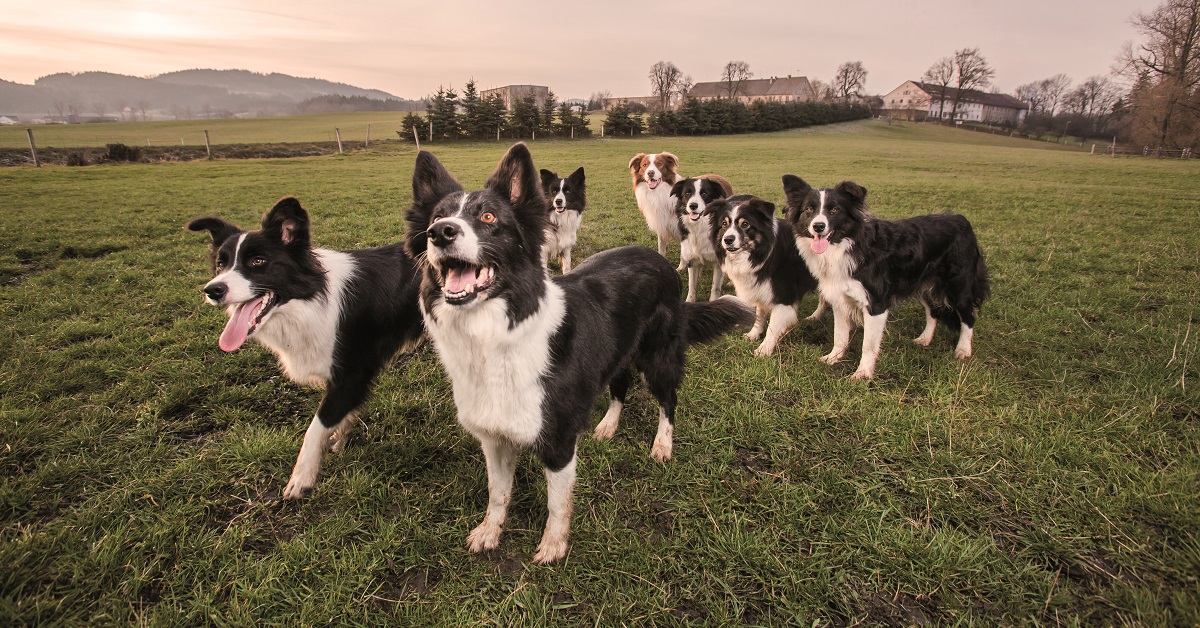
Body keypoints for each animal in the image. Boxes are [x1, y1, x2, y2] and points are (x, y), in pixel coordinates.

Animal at [189, 199, 424, 499]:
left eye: (257, 261)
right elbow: (339, 415)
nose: (212, 290)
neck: (308, 298)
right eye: (222, 263)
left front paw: (301, 479)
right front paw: (340, 436)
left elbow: (315, 427)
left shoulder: (352, 372)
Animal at [672, 175, 734, 303]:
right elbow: (692, 285)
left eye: (704, 194)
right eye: (687, 193)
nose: (693, 206)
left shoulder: (718, 263)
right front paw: (689, 301)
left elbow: (715, 287)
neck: (699, 227)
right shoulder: (692, 260)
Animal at [700, 194, 825, 355]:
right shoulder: (760, 286)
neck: (762, 253)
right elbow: (760, 313)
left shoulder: (783, 294)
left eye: (745, 224)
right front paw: (754, 334)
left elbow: (774, 323)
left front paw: (764, 349)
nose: (727, 240)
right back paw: (815, 317)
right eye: (724, 224)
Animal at [782, 174, 988, 381]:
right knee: (933, 312)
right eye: (809, 209)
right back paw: (925, 339)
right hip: (922, 284)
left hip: (958, 286)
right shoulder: (840, 298)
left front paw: (863, 373)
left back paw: (963, 349)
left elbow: (868, 345)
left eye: (834, 210)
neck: (847, 245)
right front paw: (833, 358)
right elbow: (839, 335)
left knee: (968, 317)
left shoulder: (876, 304)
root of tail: (961, 219)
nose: (818, 226)